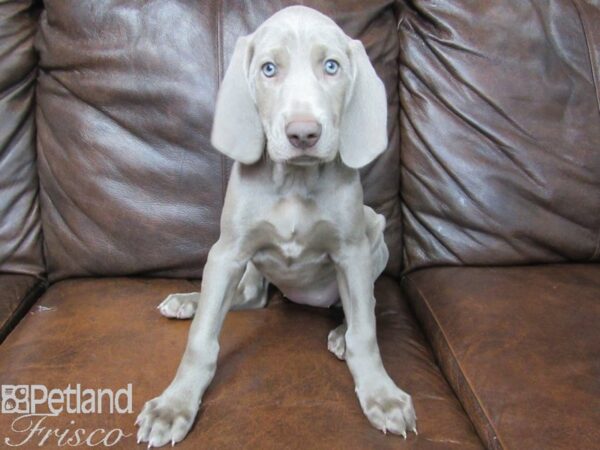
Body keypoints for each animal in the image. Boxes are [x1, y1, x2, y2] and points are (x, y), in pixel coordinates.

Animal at [136, 5, 418, 448]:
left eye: (331, 66)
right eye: (269, 69)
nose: (303, 133)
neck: (295, 183)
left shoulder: (352, 251)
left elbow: (366, 334)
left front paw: (381, 394)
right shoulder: (228, 252)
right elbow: (202, 337)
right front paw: (174, 404)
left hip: (374, 229)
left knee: (366, 306)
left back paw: (340, 331)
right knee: (250, 298)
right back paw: (187, 300)